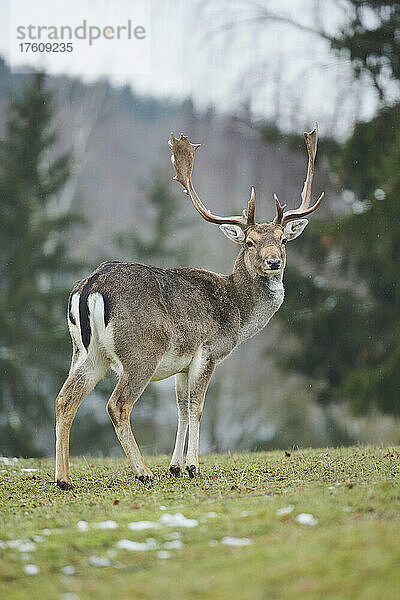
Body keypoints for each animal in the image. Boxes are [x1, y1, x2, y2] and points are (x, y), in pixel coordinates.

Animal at [55, 124, 324, 490]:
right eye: (249, 242)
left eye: (283, 239)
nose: (273, 262)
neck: (238, 312)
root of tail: (91, 285)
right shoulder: (208, 351)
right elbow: (196, 407)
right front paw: (193, 466)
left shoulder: (180, 365)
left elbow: (181, 408)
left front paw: (176, 467)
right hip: (140, 352)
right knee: (117, 405)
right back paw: (142, 472)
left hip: (86, 352)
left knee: (64, 400)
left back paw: (63, 479)